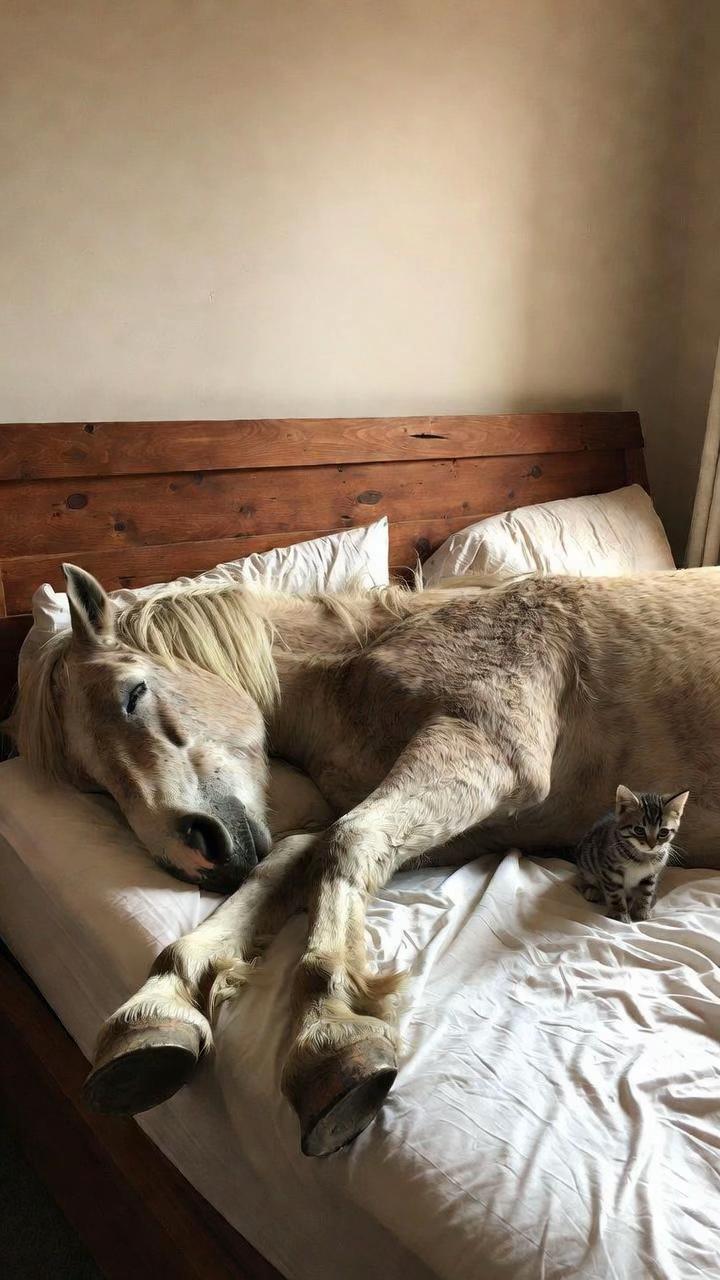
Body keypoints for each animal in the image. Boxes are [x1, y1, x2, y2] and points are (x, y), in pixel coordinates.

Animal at [10, 562, 720, 1156]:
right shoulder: (465, 827)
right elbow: (298, 858)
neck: (361, 662)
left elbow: (344, 842)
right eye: (94, 787)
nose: (199, 855)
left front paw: (329, 1030)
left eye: (133, 694)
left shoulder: (485, 756)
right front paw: (164, 1000)